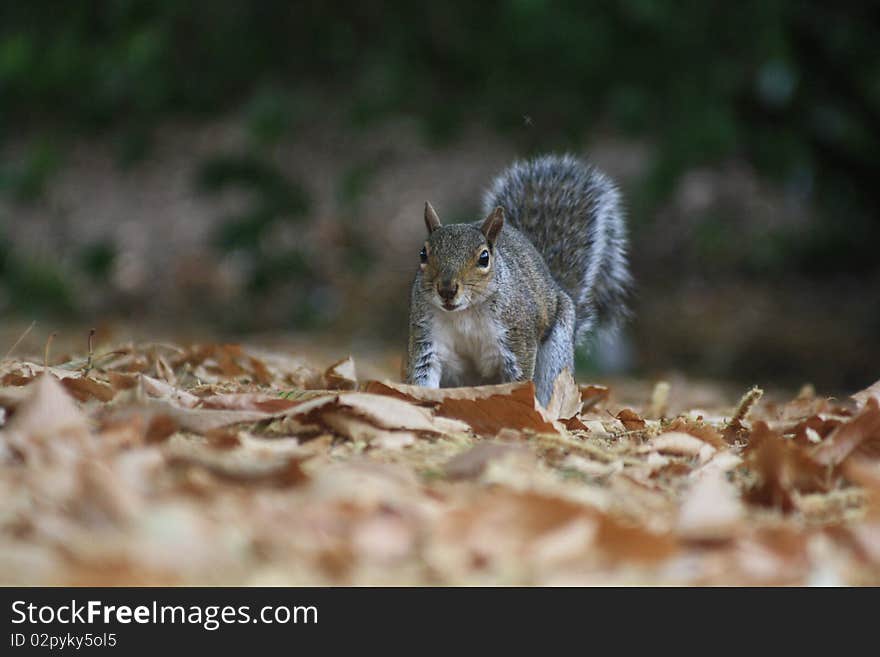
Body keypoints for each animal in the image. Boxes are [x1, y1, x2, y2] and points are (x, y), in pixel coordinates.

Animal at [406, 153, 632, 404]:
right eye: (423, 254)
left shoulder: (518, 337)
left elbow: (519, 378)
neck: (465, 313)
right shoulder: (427, 336)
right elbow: (424, 375)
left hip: (556, 353)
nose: (446, 289)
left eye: (484, 258)